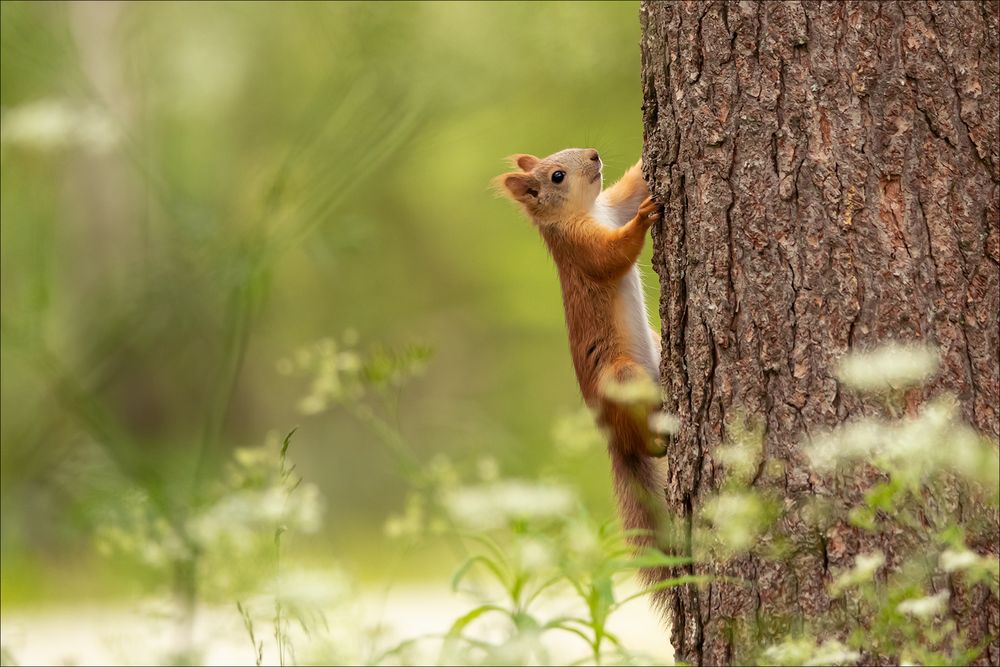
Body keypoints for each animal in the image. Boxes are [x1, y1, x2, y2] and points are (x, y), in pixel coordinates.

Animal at [496, 150, 668, 604]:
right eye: (557, 175)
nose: (594, 154)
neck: (589, 211)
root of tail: (612, 436)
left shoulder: (611, 204)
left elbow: (633, 185)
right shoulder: (579, 248)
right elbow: (611, 256)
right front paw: (643, 219)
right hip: (622, 376)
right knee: (642, 441)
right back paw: (656, 441)